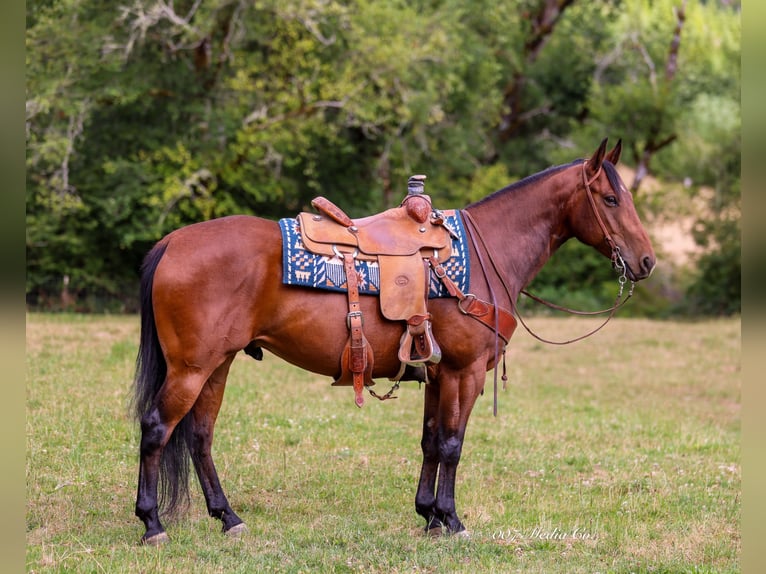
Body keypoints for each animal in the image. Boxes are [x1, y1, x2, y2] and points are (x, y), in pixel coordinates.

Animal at [132, 138, 656, 545]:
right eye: (610, 199)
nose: (647, 261)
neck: (486, 252)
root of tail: (173, 242)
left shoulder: (437, 375)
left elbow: (430, 441)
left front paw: (428, 515)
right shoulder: (463, 372)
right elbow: (452, 444)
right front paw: (452, 520)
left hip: (217, 365)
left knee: (200, 436)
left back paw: (228, 518)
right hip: (191, 368)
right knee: (157, 428)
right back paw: (153, 523)